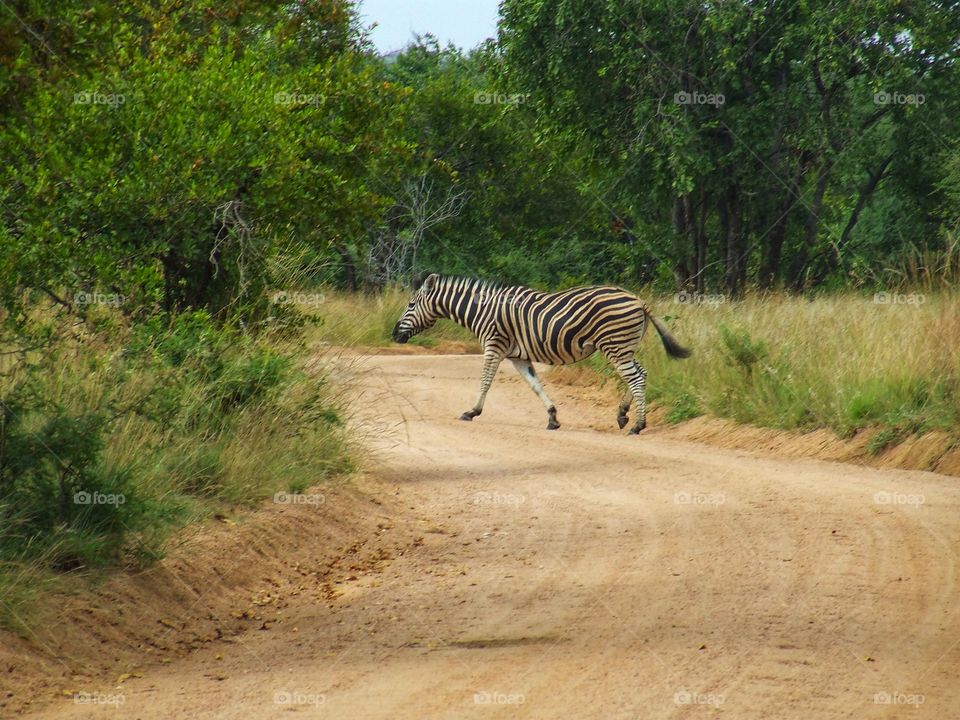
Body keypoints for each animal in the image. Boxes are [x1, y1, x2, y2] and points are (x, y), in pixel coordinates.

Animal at [391, 274, 691, 434]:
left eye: (410, 304)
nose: (394, 334)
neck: (482, 310)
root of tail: (638, 299)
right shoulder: (518, 356)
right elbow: (535, 386)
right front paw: (553, 417)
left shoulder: (494, 344)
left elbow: (485, 380)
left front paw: (472, 411)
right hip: (624, 346)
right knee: (641, 374)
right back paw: (622, 415)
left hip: (615, 345)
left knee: (636, 378)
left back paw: (637, 425)